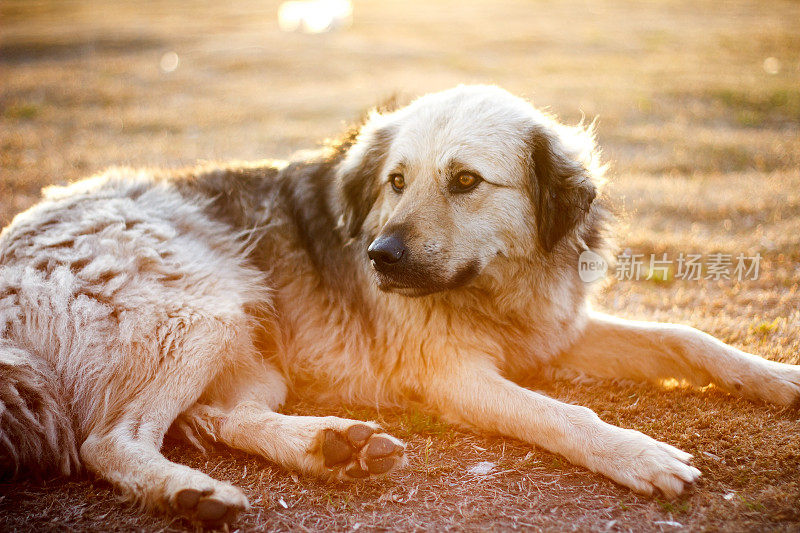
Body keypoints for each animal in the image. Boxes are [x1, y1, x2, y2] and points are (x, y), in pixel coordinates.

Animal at [1, 85, 800, 524]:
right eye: (395, 179)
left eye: (466, 180)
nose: (379, 256)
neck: (492, 288)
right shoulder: (458, 378)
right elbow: (564, 415)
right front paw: (639, 454)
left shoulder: (553, 335)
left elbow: (685, 336)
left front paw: (779, 378)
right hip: (205, 311)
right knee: (111, 439)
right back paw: (192, 493)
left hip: (251, 346)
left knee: (224, 416)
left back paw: (330, 447)